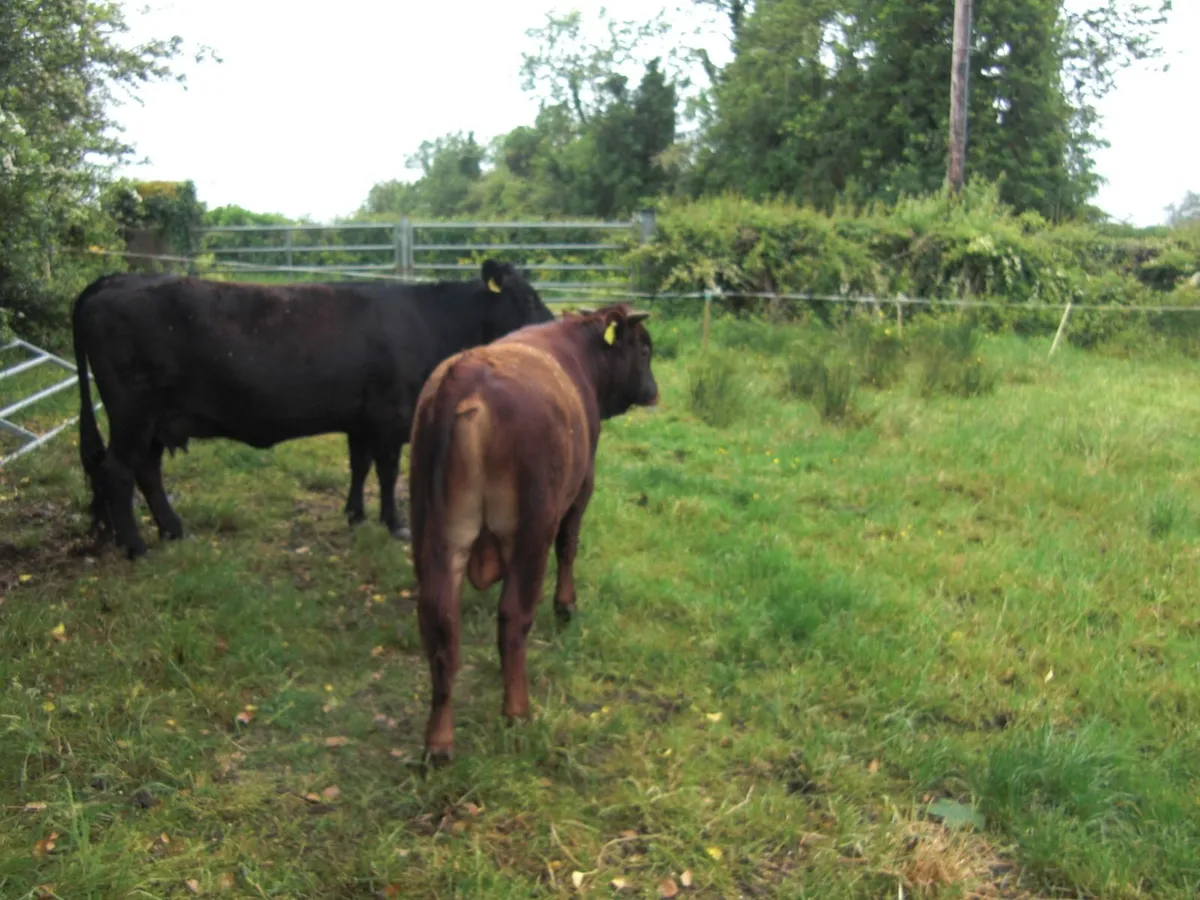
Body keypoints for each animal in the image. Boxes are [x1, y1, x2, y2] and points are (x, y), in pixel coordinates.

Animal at [71, 260, 555, 559]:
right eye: (527, 299)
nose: (552, 326)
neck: (430, 320)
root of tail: (115, 279)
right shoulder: (389, 418)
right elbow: (387, 472)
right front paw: (394, 523)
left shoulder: (361, 420)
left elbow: (360, 466)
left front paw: (355, 515)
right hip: (133, 415)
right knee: (118, 471)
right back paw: (137, 547)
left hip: (156, 422)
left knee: (147, 471)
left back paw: (174, 530)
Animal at [408, 304, 658, 761]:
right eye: (644, 350)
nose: (653, 390)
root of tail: (466, 382)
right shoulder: (582, 485)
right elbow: (570, 545)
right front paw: (566, 605)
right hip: (530, 529)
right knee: (513, 617)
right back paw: (517, 711)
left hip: (437, 534)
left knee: (440, 625)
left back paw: (439, 741)